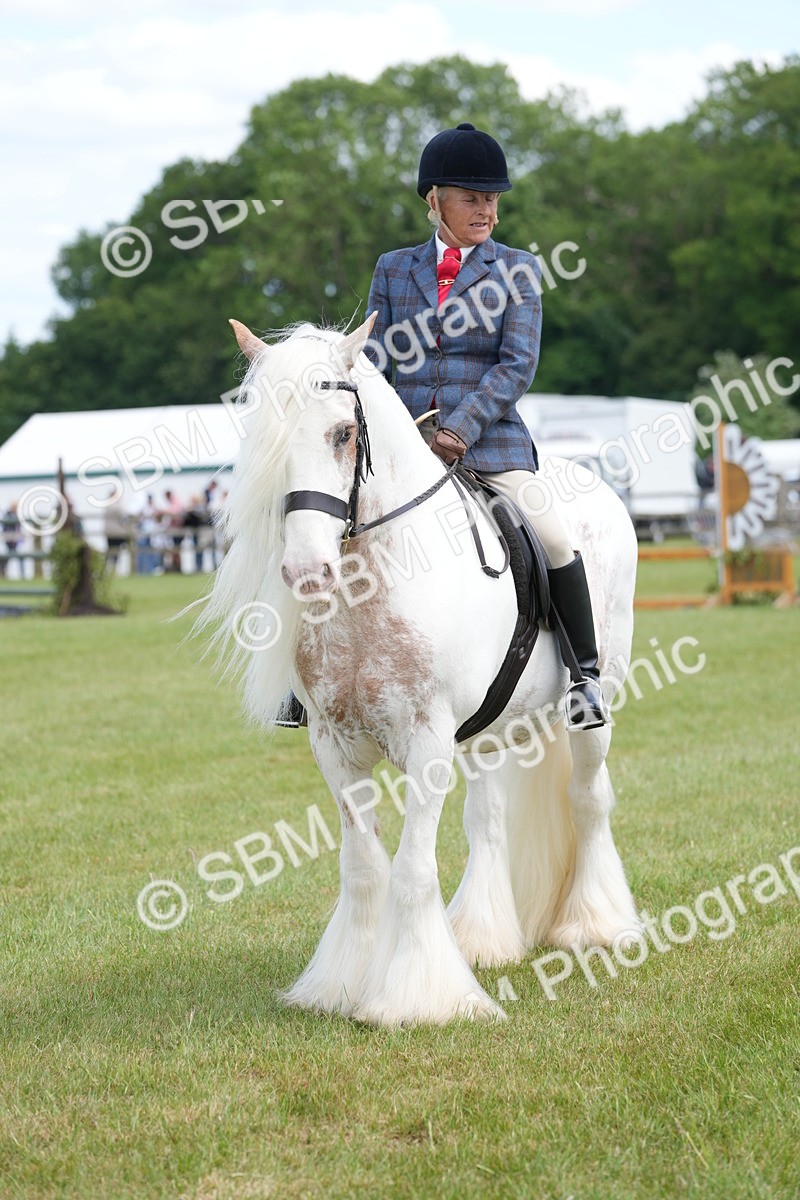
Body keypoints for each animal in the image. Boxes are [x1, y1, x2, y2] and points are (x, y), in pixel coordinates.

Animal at [197, 312, 641, 1027]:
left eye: (343, 433)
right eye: (264, 440)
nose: (306, 572)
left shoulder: (428, 742)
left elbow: (410, 869)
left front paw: (416, 998)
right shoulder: (334, 746)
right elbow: (363, 867)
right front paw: (342, 985)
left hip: (593, 710)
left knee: (589, 798)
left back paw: (595, 926)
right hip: (490, 728)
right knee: (488, 819)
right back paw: (483, 939)